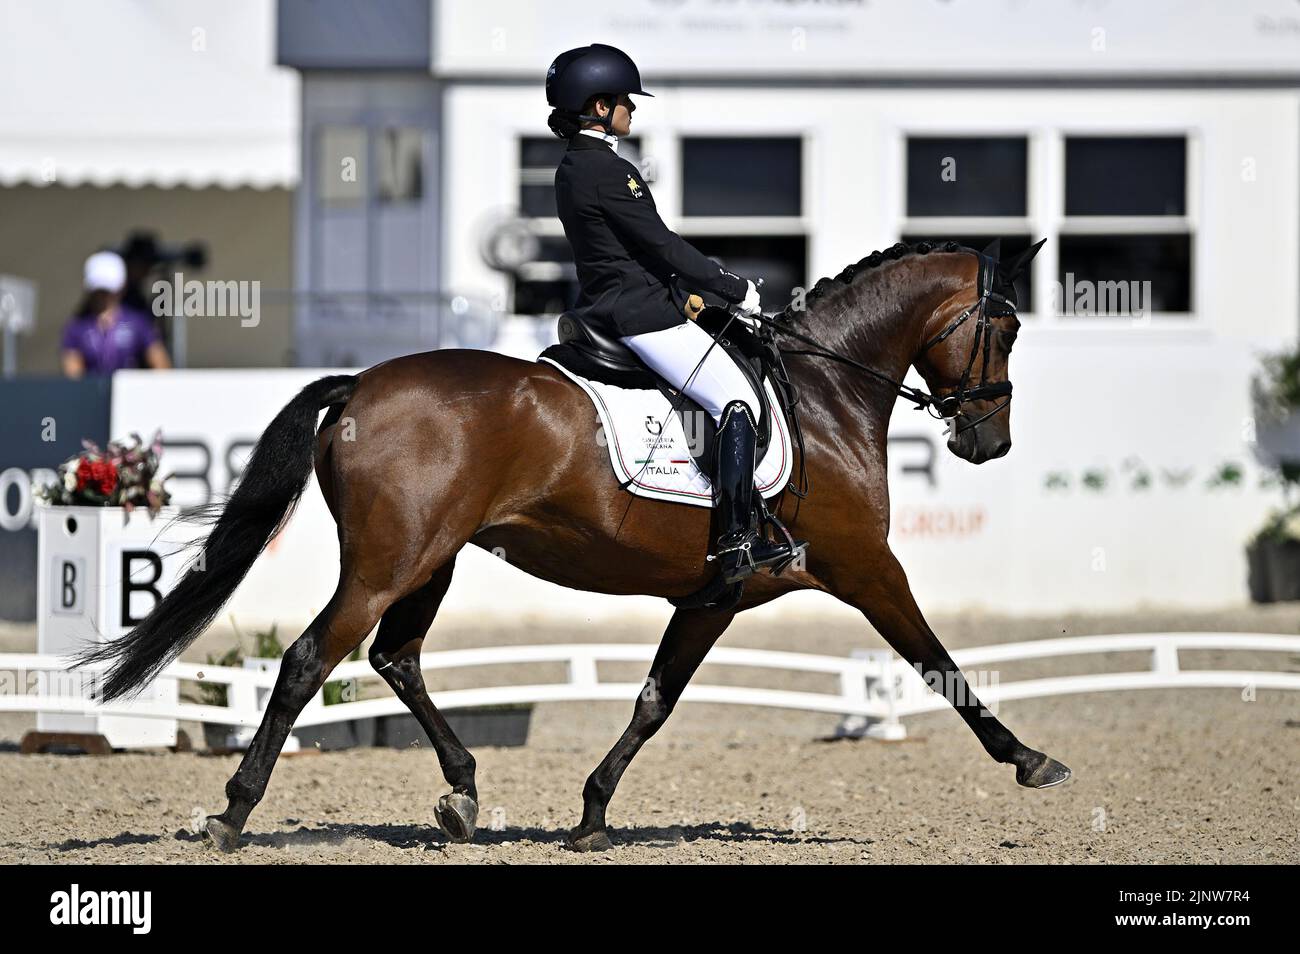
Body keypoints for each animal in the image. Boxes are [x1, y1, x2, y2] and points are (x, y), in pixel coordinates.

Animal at [81, 237, 1066, 852]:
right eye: (1008, 327)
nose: (991, 442)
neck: (825, 392)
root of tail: (360, 386)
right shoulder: (865, 567)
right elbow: (939, 662)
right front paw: (1029, 760)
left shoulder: (714, 595)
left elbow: (654, 701)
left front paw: (591, 815)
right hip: (391, 561)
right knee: (308, 659)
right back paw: (233, 815)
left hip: (432, 558)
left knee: (396, 657)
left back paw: (463, 793)